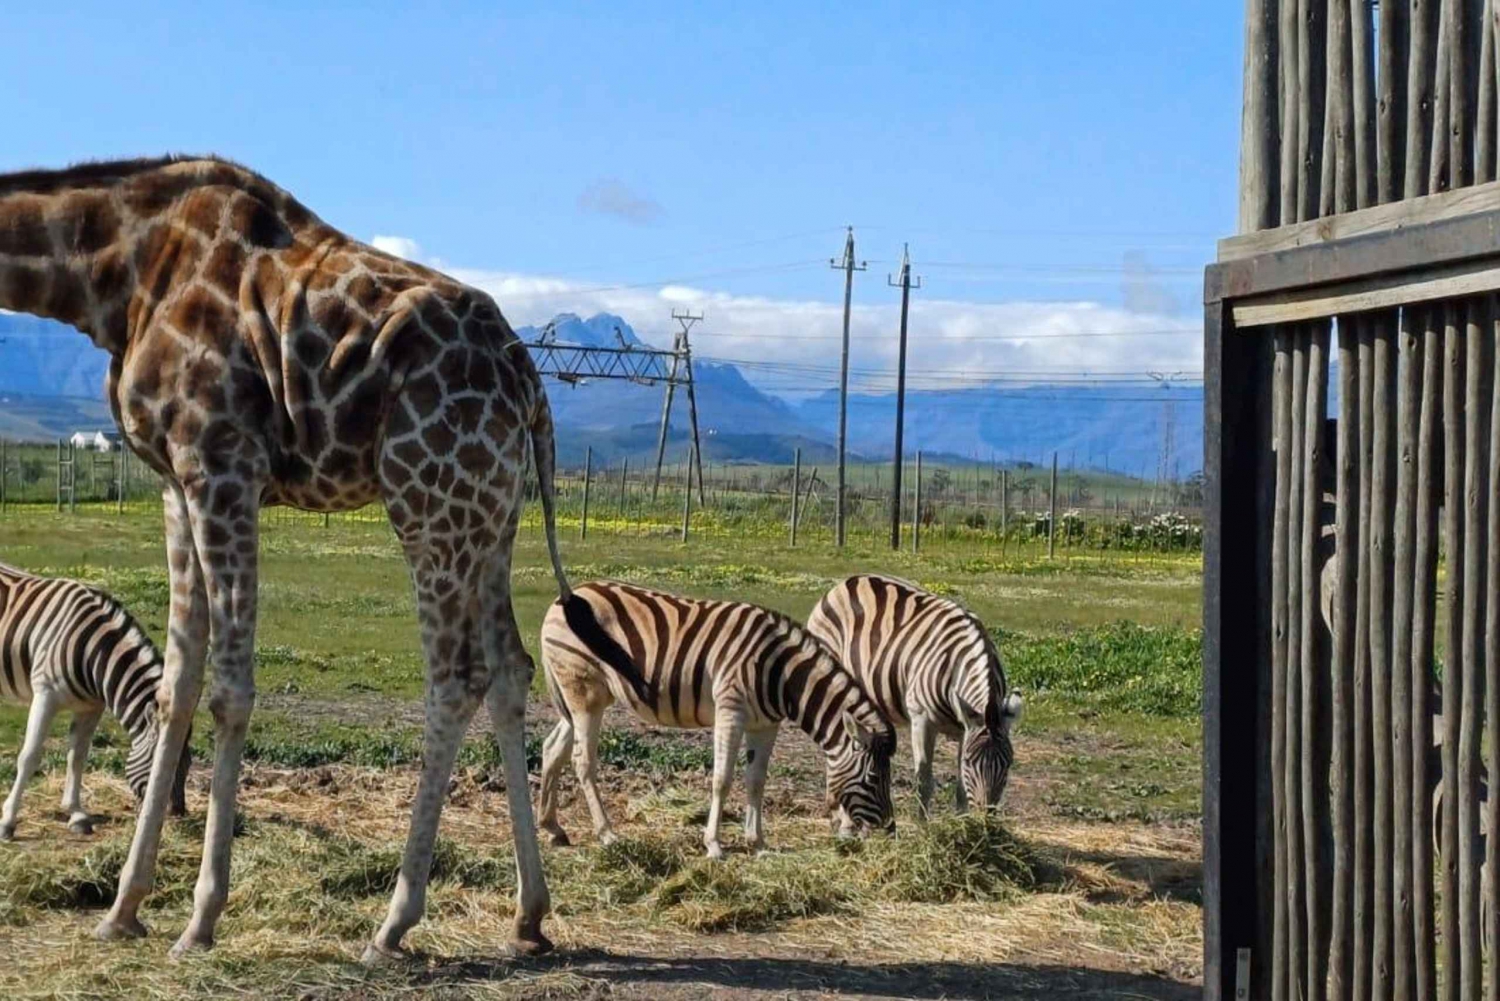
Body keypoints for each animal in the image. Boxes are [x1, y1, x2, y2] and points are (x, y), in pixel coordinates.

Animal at [0, 155, 569, 960]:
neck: (110, 277)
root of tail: (530, 380)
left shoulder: (220, 462)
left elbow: (230, 689)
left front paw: (201, 918)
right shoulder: (173, 481)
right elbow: (178, 683)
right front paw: (123, 906)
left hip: (426, 500)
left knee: (456, 679)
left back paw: (393, 922)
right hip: (494, 514)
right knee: (511, 669)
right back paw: (529, 915)